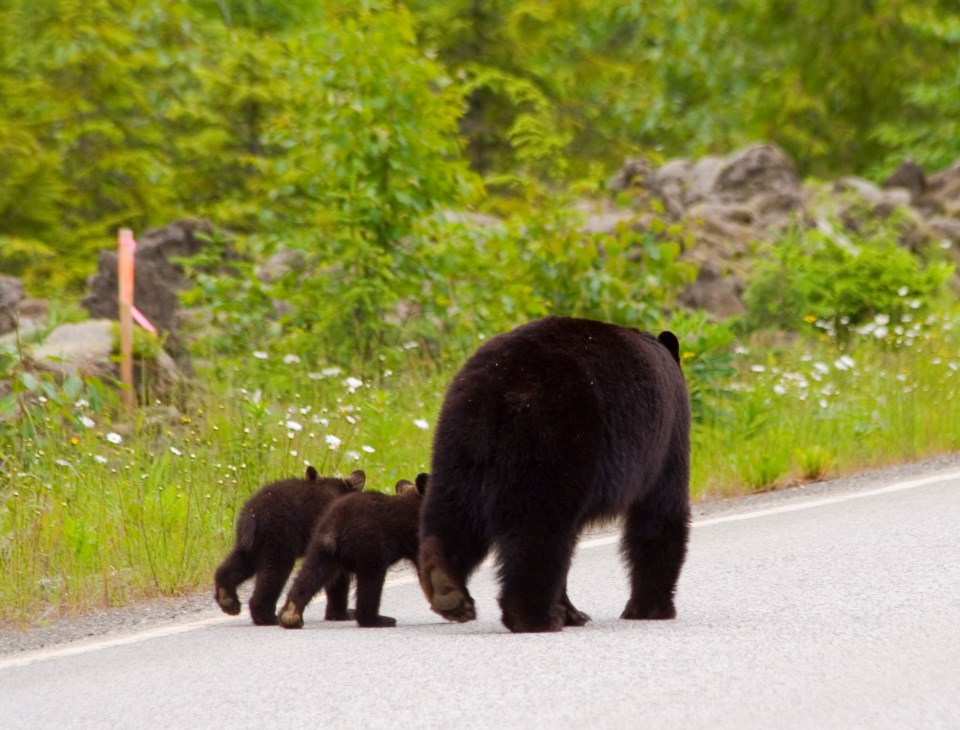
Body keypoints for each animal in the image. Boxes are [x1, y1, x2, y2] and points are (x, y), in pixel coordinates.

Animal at [214, 466, 364, 624]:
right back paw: (266, 616)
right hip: (278, 538)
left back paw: (228, 600)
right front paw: (342, 613)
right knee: (273, 573)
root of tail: (252, 514)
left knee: (238, 563)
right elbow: (338, 577)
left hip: (250, 543)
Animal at [278, 472, 428, 624]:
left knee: (309, 573)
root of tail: (337, 527)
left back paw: (290, 614)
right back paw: (376, 619)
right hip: (371, 548)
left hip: (321, 547)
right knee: (371, 582)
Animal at [420, 316, 688, 628]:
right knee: (540, 528)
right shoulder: (667, 440)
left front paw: (574, 611)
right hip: (554, 442)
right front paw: (650, 608)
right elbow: (660, 515)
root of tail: (497, 387)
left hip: (457, 444)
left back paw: (445, 586)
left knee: (453, 514)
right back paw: (533, 616)